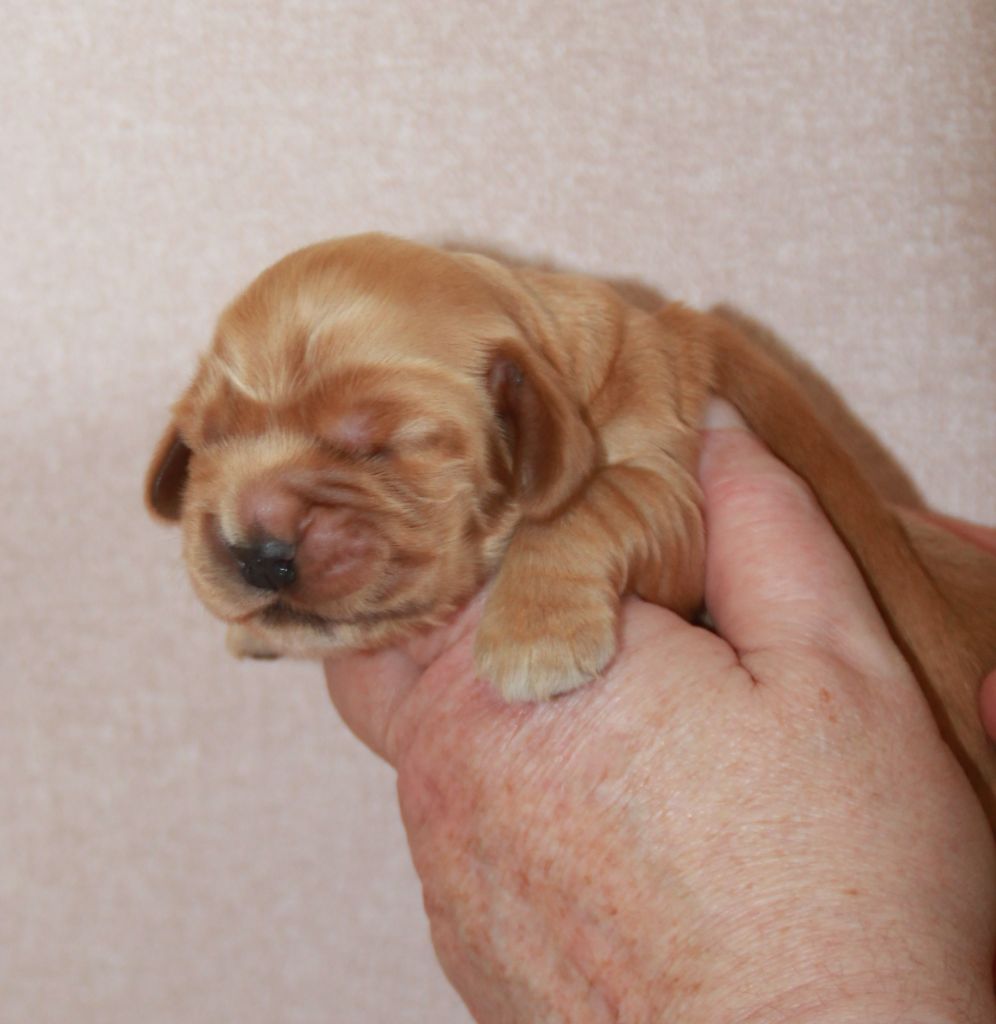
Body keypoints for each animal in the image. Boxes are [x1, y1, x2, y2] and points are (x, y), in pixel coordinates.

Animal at [145, 234, 994, 823]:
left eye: (379, 445)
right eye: (204, 440)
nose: (255, 552)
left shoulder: (670, 491)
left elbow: (591, 503)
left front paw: (535, 637)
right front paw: (255, 631)